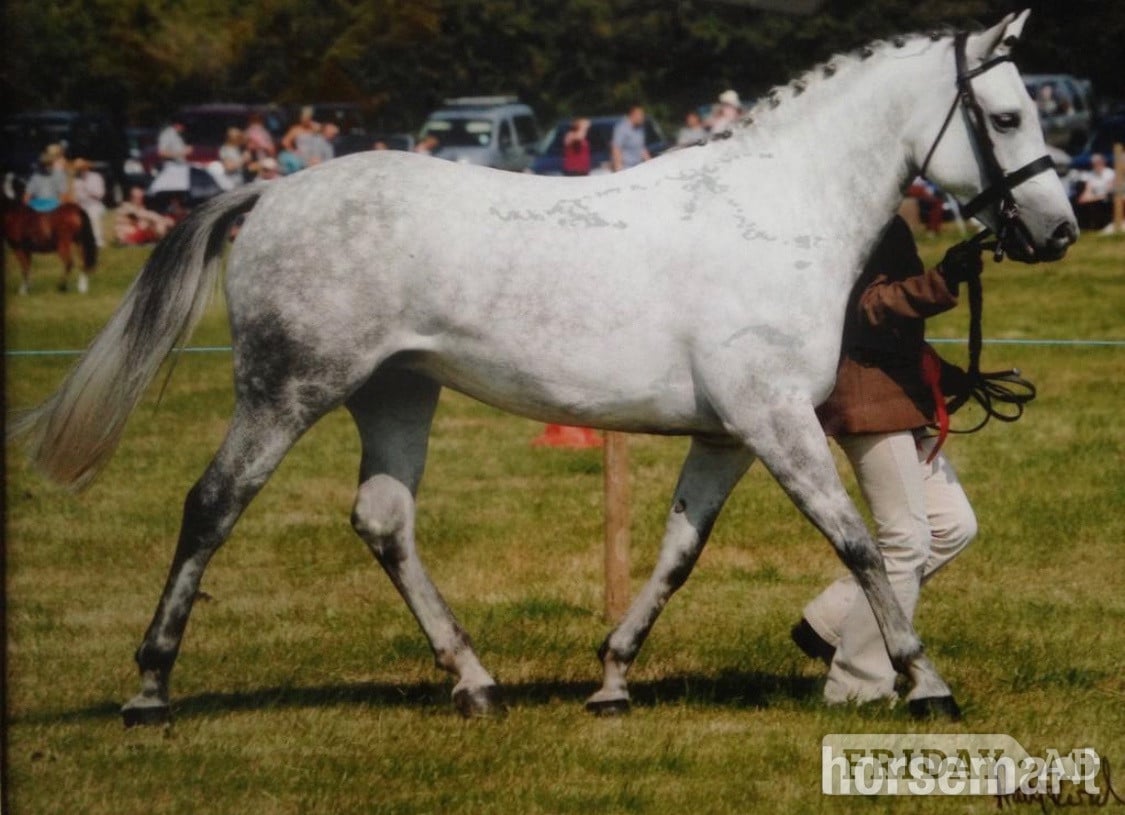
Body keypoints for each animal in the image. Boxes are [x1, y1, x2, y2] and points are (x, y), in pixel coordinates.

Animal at [10, 11, 1076, 727]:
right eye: (1005, 115)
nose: (1058, 229)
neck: (775, 211)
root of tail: (270, 194)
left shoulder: (727, 434)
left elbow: (676, 552)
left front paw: (611, 679)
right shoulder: (774, 420)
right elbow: (855, 542)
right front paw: (923, 681)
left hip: (397, 391)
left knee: (383, 520)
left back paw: (476, 683)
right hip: (286, 390)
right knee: (213, 504)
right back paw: (150, 689)